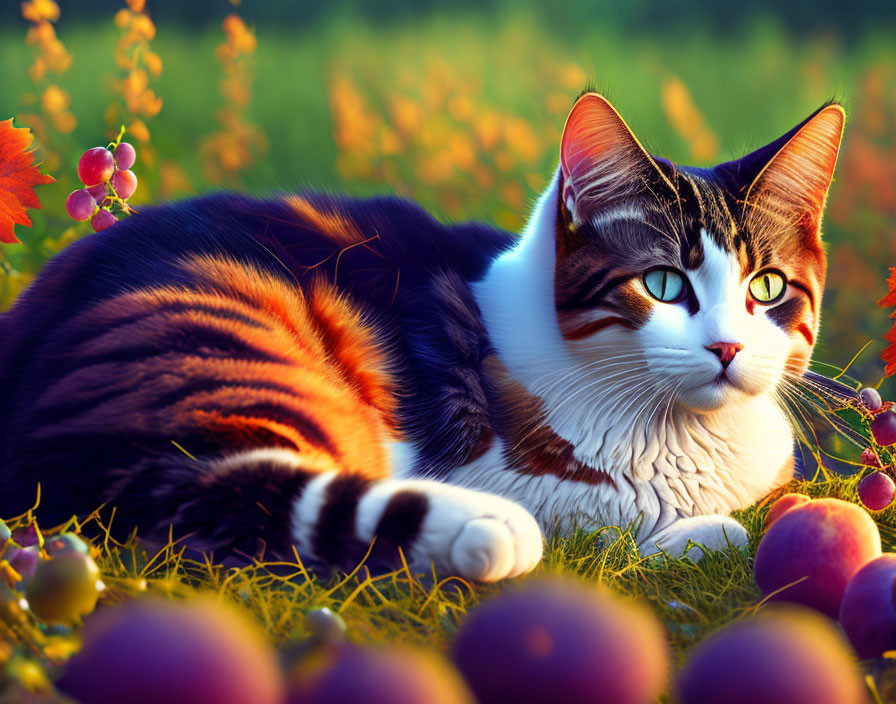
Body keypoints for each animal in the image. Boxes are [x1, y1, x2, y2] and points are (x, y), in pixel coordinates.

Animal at [0, 92, 844, 576]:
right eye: (664, 283)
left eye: (766, 288)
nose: (728, 349)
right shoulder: (508, 463)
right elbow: (613, 515)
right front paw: (676, 533)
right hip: (227, 335)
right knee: (193, 494)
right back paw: (484, 530)